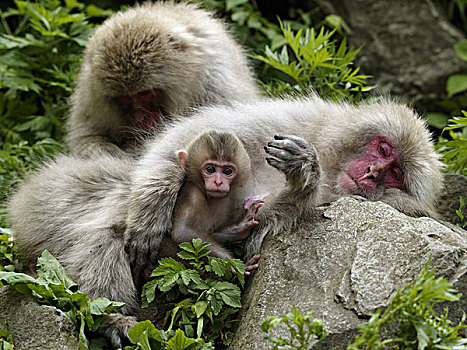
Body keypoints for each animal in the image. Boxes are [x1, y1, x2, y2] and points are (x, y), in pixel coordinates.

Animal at [66, 0, 260, 158]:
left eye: (144, 93)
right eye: (125, 98)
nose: (140, 118)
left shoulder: (215, 85)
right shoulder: (90, 92)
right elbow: (86, 138)